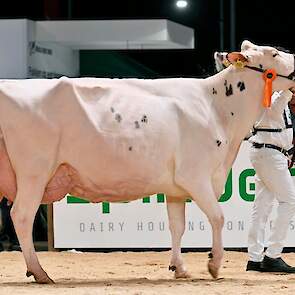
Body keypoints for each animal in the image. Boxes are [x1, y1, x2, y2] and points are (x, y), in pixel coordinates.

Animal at [0, 40, 294, 284]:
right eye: (275, 53)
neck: (216, 107)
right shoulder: (195, 176)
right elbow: (218, 217)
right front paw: (214, 264)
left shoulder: (176, 188)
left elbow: (177, 226)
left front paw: (179, 268)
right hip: (34, 171)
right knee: (22, 215)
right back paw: (39, 272)